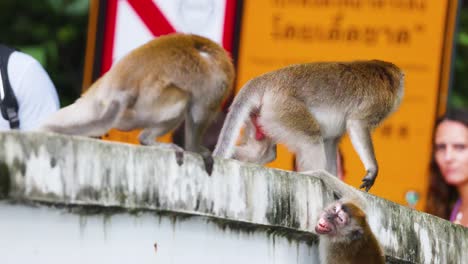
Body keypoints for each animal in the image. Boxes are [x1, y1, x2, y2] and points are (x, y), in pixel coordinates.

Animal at [38, 33, 234, 174]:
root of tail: (119, 89)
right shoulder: (218, 85)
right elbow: (198, 117)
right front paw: (196, 149)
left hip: (96, 101)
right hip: (146, 107)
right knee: (182, 99)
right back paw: (147, 139)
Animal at [214, 59, 404, 190]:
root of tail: (267, 80)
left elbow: (330, 141)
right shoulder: (378, 101)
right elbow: (357, 124)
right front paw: (372, 169)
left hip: (264, 114)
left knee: (263, 152)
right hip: (284, 108)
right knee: (311, 137)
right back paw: (316, 174)